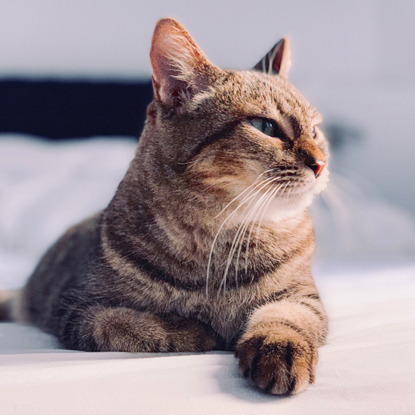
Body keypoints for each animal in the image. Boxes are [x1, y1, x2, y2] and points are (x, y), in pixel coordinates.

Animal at [1, 18, 330, 396]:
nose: (321, 164)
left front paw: (279, 350)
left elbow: (287, 318)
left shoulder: (302, 296)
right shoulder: (78, 310)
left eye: (315, 131)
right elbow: (130, 324)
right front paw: (196, 330)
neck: (219, 240)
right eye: (265, 126)